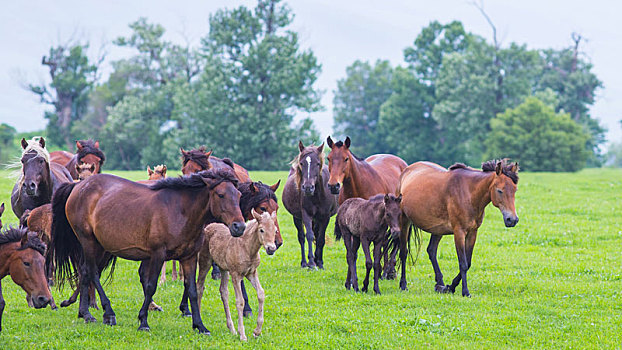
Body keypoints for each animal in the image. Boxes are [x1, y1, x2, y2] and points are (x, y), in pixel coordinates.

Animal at [50, 170, 247, 334]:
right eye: (220, 194)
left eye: (238, 195)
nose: (239, 226)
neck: (180, 210)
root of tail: (78, 186)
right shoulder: (157, 255)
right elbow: (151, 286)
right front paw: (143, 321)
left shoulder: (189, 257)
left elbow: (192, 290)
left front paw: (199, 325)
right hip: (89, 242)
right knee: (92, 272)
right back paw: (108, 313)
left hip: (98, 246)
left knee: (84, 272)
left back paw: (85, 314)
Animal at [200, 211, 278, 342]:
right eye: (261, 230)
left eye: (275, 230)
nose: (271, 249)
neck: (248, 249)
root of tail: (208, 226)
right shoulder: (235, 274)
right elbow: (240, 301)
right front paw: (243, 335)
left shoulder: (252, 273)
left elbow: (261, 293)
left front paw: (257, 331)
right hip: (205, 261)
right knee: (199, 287)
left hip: (223, 269)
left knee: (223, 291)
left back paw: (231, 329)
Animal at [286, 141, 338, 270]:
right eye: (301, 163)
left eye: (318, 163)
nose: (308, 187)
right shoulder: (306, 214)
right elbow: (309, 236)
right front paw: (311, 263)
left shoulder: (325, 217)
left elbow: (320, 239)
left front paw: (319, 262)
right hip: (297, 217)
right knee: (301, 237)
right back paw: (304, 263)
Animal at [400, 161, 520, 296]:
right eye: (499, 190)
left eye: (515, 190)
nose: (512, 220)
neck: (469, 194)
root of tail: (406, 170)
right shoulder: (459, 232)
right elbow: (463, 263)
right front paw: (465, 291)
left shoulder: (472, 233)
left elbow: (468, 262)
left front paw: (450, 287)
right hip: (404, 221)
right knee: (403, 252)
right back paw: (403, 285)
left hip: (437, 229)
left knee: (431, 251)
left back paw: (440, 285)